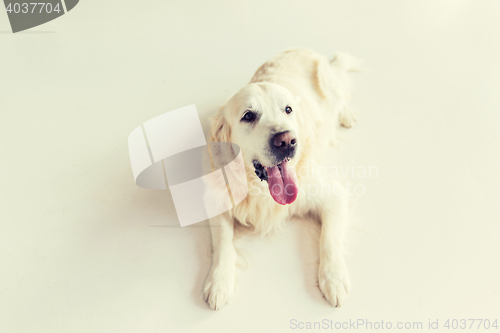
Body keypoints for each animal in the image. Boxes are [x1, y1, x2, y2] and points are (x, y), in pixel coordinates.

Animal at [203, 48, 360, 308]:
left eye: (288, 110)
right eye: (248, 116)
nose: (286, 141)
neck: (262, 191)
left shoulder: (333, 196)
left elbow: (329, 240)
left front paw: (334, 279)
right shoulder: (218, 198)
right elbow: (223, 241)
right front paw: (219, 281)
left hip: (330, 84)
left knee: (341, 93)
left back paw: (347, 115)